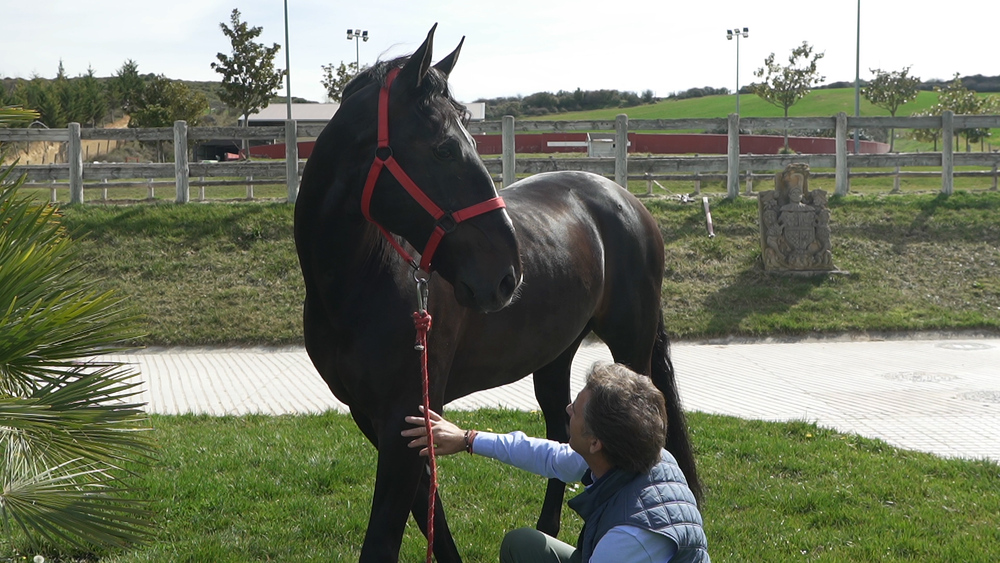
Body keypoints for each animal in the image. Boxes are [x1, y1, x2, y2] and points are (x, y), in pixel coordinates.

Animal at [292, 24, 700, 560]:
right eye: (444, 148)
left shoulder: (403, 416)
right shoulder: (380, 420)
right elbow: (431, 511)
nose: (508, 275)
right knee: (561, 432)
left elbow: (386, 535)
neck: (357, 286)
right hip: (554, 355)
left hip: (630, 345)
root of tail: (624, 198)